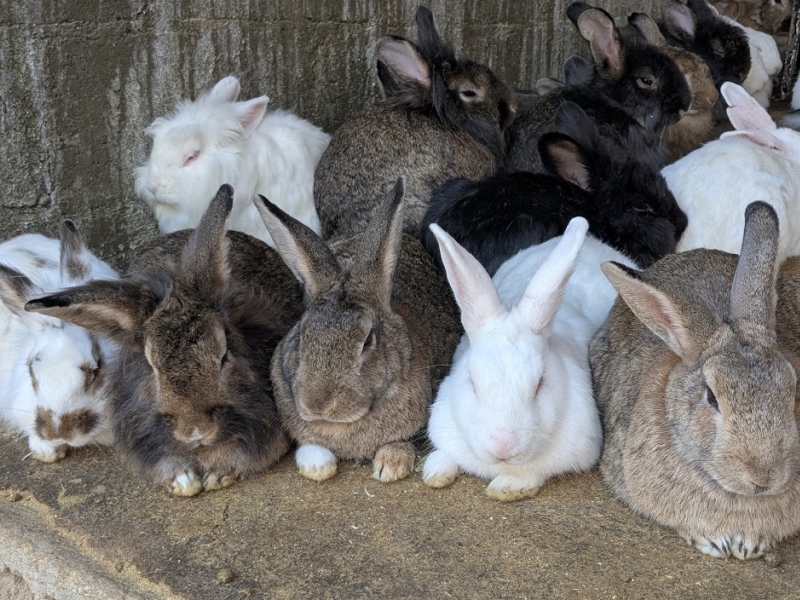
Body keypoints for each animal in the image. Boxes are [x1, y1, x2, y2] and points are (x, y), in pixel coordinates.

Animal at [422, 217, 637, 501]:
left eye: (539, 384)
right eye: (472, 382)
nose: (503, 447)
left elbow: (532, 473)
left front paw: (506, 488)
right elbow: (444, 455)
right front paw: (435, 474)